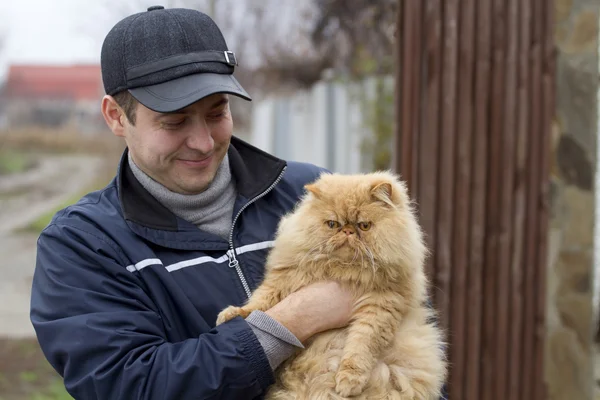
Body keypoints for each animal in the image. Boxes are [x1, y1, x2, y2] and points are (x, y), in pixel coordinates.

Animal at [216, 171, 446, 400]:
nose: (347, 232)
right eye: (333, 224)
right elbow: (258, 302)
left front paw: (348, 382)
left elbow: (360, 348)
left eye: (364, 226)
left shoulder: (380, 307)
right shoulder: (285, 278)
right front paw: (232, 314)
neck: (342, 269)